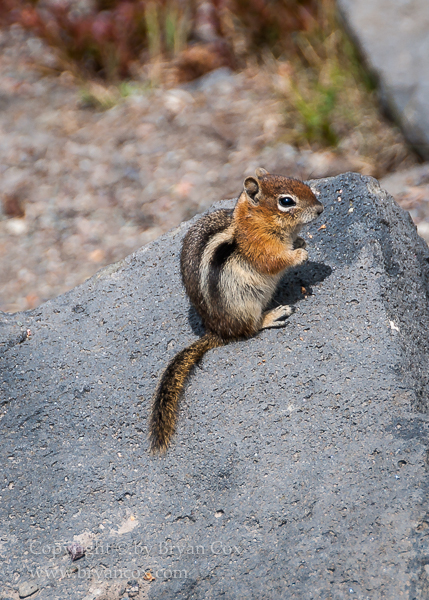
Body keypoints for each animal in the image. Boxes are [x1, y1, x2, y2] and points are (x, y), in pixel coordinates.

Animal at [150, 168, 320, 450]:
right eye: (286, 201)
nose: (320, 209)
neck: (255, 221)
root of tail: (219, 332)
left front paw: (302, 241)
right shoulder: (261, 247)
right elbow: (275, 261)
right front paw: (299, 255)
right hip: (246, 304)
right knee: (250, 329)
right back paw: (273, 315)